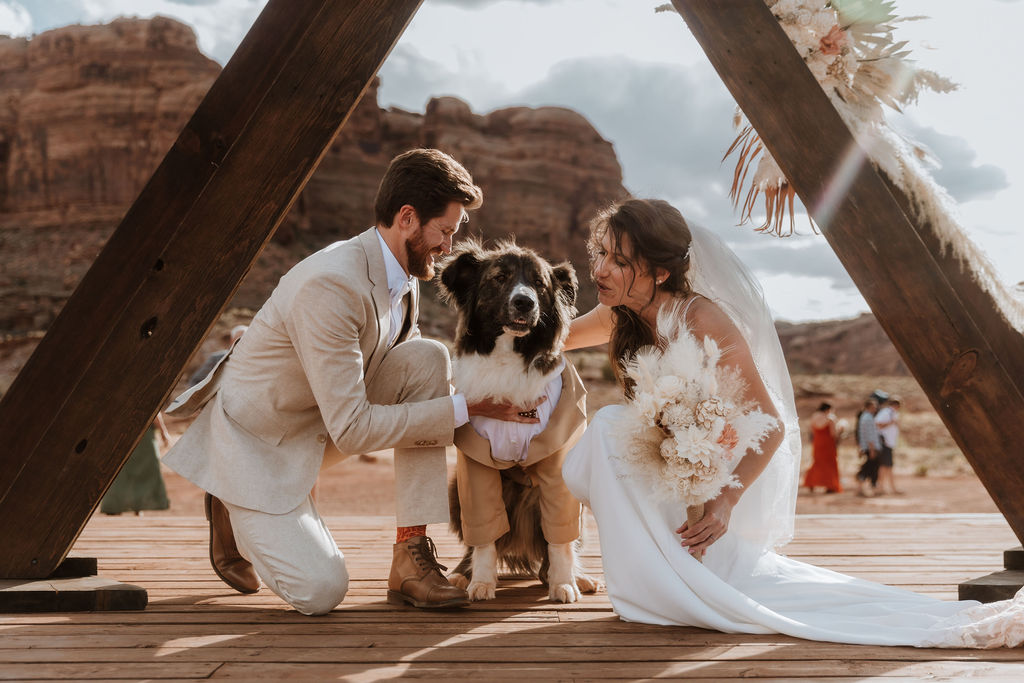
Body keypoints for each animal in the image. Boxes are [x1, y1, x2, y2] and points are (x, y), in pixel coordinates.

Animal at [434, 239, 598, 602]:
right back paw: (462, 574)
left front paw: (563, 582)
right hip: (454, 491)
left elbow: (560, 539)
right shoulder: (476, 466)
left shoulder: (557, 462)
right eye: (500, 277)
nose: (525, 302)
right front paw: (481, 581)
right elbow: (484, 535)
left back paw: (572, 576)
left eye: (540, 283)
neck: (509, 355)